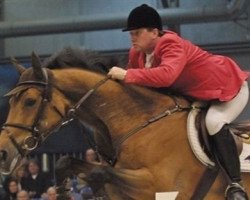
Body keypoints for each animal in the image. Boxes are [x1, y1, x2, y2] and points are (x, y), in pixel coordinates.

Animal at [0, 48, 250, 200]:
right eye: (10, 101)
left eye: (30, 101)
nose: (3, 152)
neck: (138, 122)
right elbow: (66, 162)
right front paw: (63, 191)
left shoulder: (158, 186)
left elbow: (99, 172)